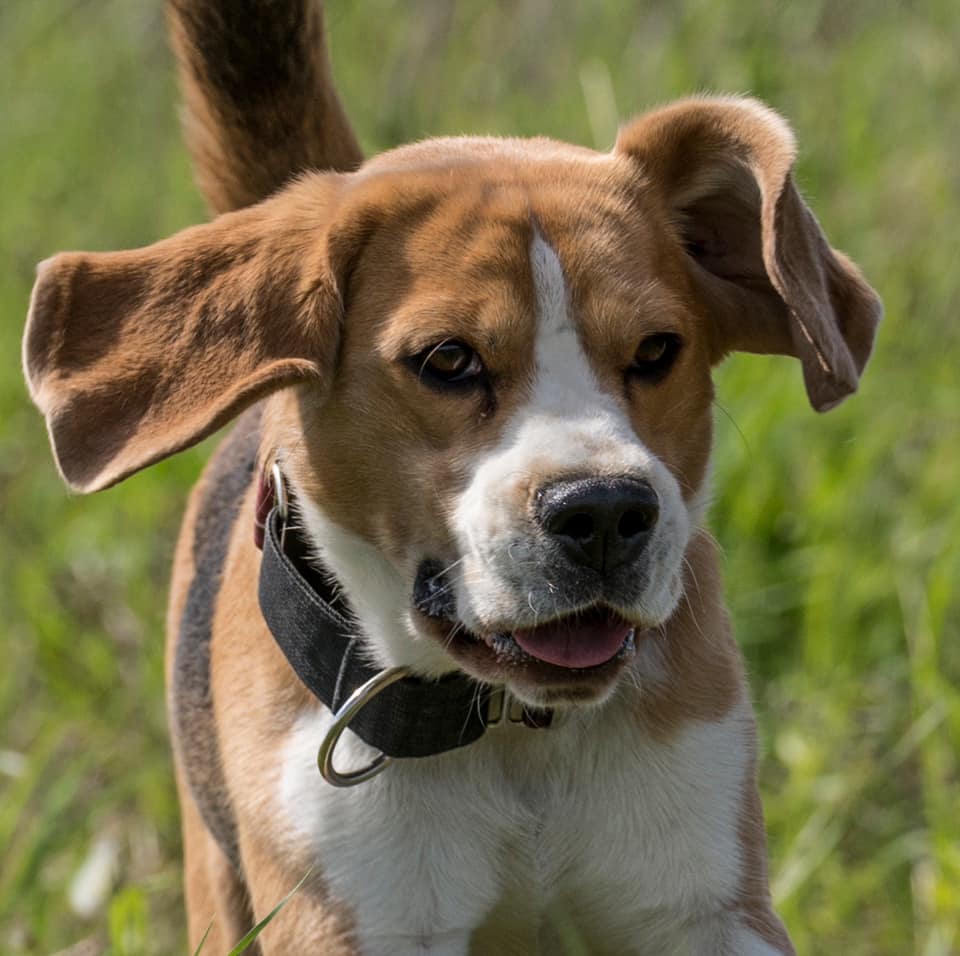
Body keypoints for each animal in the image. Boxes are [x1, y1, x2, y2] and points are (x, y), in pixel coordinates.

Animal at [22, 3, 880, 952]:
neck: (512, 731)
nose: (604, 510)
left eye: (658, 350)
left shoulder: (703, 907)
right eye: (448, 360)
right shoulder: (353, 921)